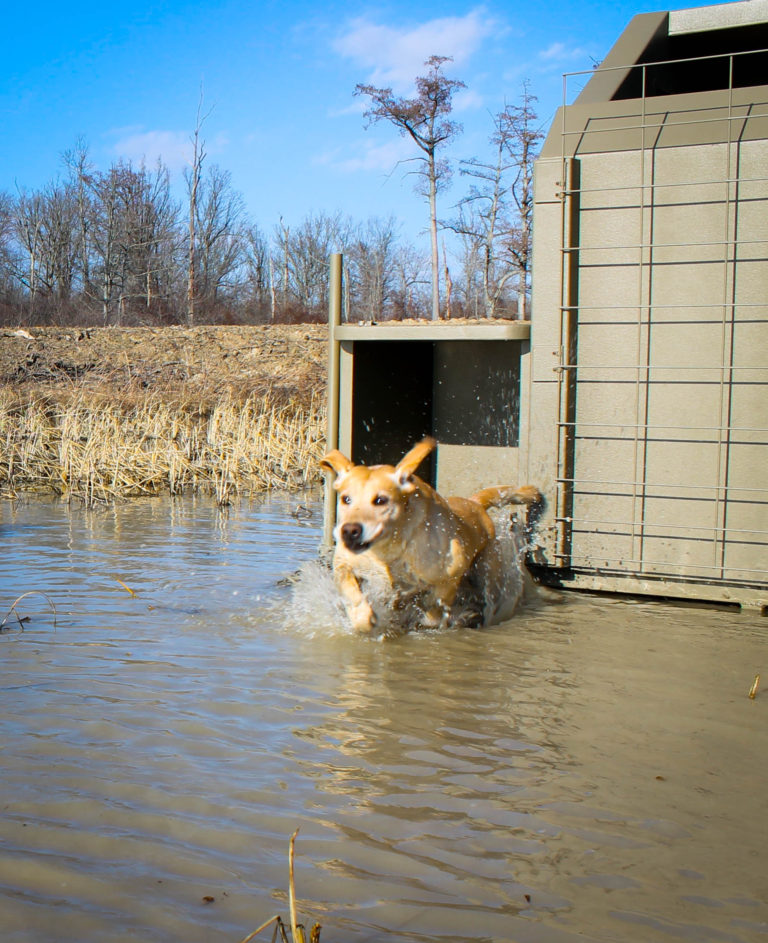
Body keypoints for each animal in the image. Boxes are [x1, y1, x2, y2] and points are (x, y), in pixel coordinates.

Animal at [320, 436, 544, 636]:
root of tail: (475, 504)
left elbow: (434, 607)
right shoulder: (343, 564)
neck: (389, 552)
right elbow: (351, 590)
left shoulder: (449, 576)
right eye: (346, 499)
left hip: (488, 572)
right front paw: (362, 617)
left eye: (381, 500)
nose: (349, 530)